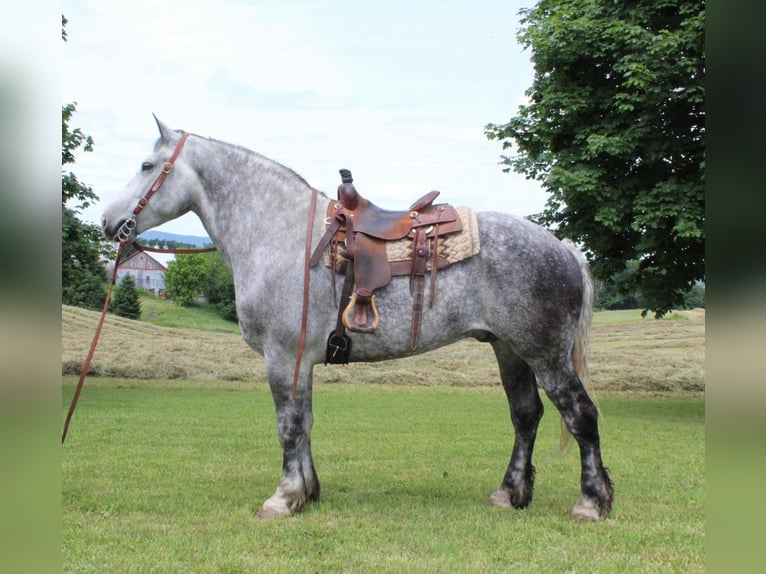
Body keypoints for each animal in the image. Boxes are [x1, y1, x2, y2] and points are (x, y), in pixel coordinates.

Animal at [102, 119, 616, 524]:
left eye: (147, 166)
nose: (109, 221)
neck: (282, 234)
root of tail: (564, 248)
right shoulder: (301, 361)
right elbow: (305, 421)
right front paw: (307, 493)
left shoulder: (282, 357)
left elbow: (288, 425)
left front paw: (283, 498)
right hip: (509, 349)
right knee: (526, 415)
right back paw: (510, 495)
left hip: (546, 354)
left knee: (581, 415)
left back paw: (591, 503)